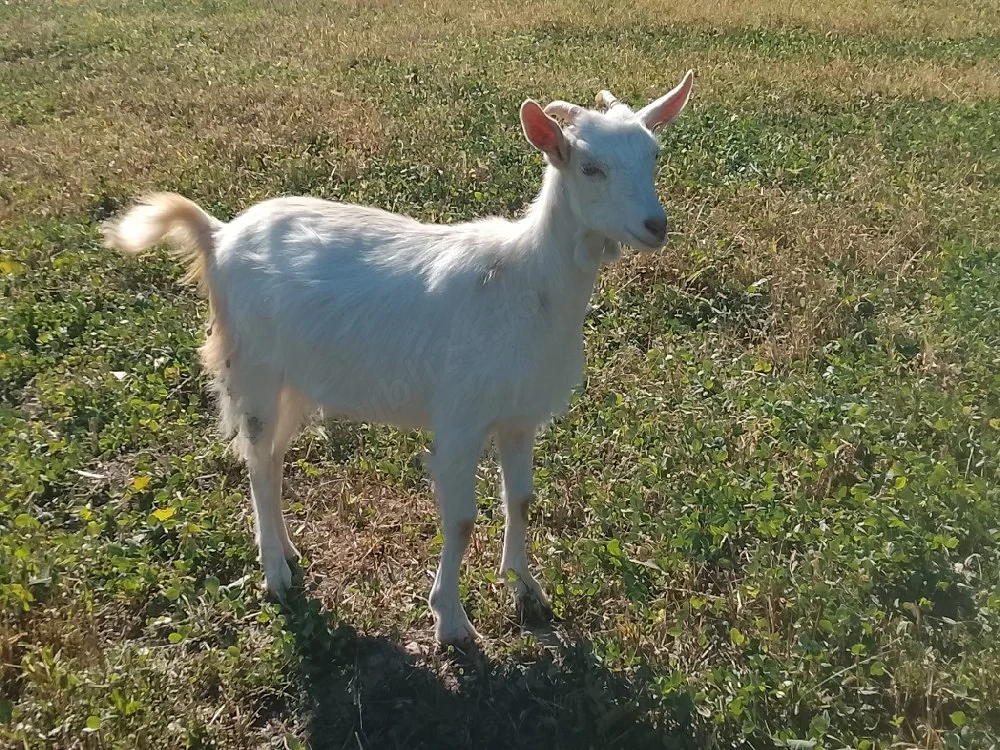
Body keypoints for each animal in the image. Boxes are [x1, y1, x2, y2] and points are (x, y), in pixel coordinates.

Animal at [102, 70, 694, 646]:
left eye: (654, 155)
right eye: (590, 167)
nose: (656, 225)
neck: (524, 280)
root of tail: (218, 234)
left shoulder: (520, 415)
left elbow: (521, 499)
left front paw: (525, 588)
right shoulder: (460, 418)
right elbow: (461, 520)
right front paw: (451, 621)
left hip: (295, 381)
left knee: (270, 457)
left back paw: (287, 551)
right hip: (254, 369)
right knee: (255, 459)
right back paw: (275, 574)